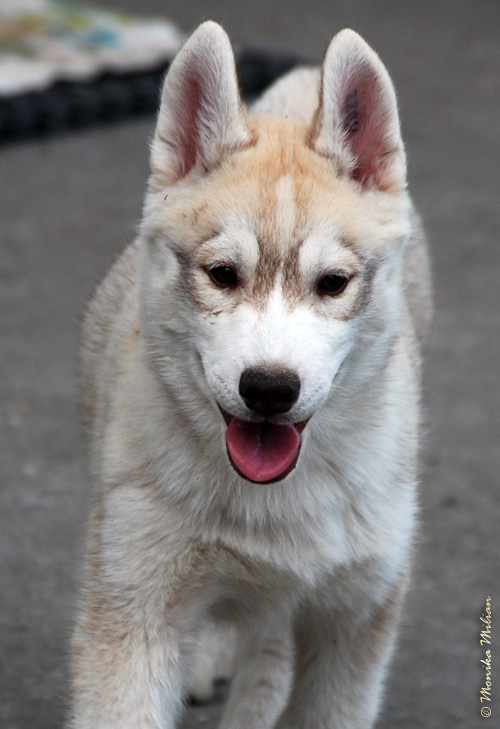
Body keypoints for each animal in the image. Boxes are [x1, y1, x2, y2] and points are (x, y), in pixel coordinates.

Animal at [70, 21, 432, 729]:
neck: (272, 503)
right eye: (222, 275)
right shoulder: (132, 604)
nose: (268, 388)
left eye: (333, 283)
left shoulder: (355, 614)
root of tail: (298, 85)